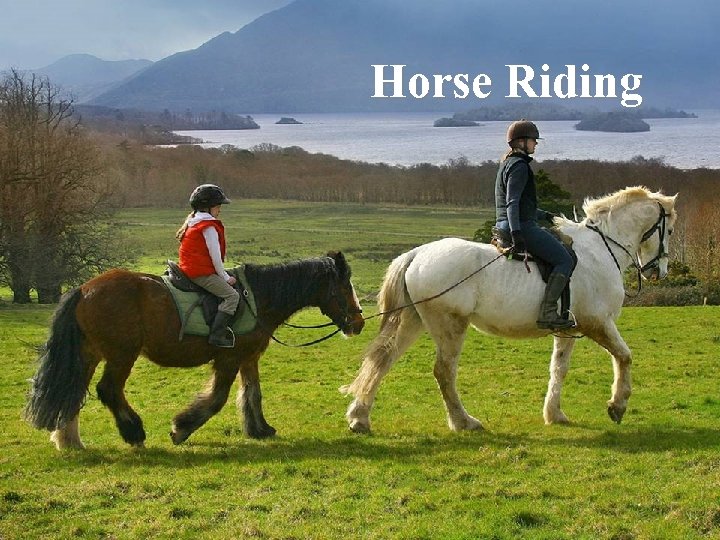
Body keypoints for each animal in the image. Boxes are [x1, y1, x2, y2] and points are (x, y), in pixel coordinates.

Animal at [25, 251, 365, 450]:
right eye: (344, 287)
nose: (359, 322)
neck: (257, 298)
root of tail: (84, 289)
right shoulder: (229, 358)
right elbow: (217, 398)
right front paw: (181, 428)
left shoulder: (248, 357)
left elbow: (252, 394)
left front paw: (260, 429)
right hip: (121, 355)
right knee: (108, 390)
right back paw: (134, 433)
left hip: (89, 354)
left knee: (73, 391)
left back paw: (69, 440)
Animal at [341, 187, 677, 433]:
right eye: (670, 230)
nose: (658, 272)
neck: (600, 250)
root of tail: (417, 254)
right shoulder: (597, 322)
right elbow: (624, 356)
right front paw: (617, 406)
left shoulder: (567, 330)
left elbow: (559, 369)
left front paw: (554, 414)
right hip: (450, 326)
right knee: (443, 371)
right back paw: (464, 422)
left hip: (413, 321)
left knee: (382, 361)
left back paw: (360, 418)